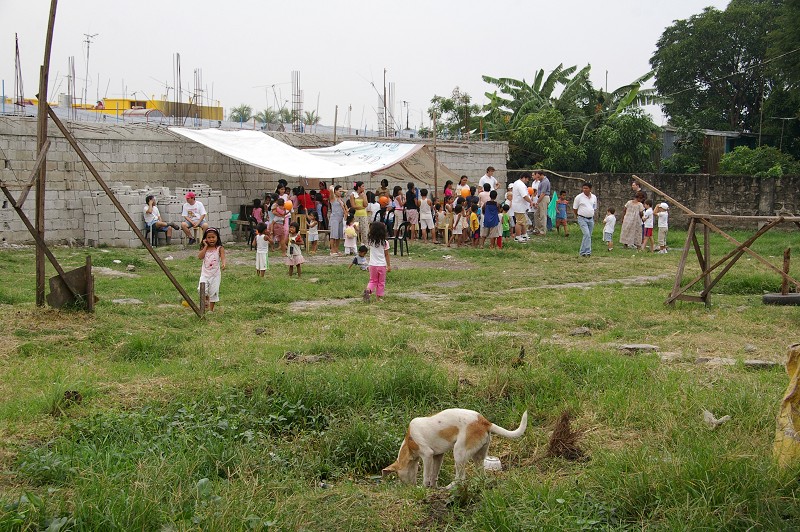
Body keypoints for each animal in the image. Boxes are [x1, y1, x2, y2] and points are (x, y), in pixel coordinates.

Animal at [382, 410, 528, 488]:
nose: (409, 489)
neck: (409, 442)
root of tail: (484, 422)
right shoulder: (438, 456)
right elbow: (434, 475)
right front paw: (433, 488)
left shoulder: (427, 455)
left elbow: (426, 475)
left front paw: (424, 488)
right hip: (478, 457)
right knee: (480, 475)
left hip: (458, 452)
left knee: (460, 478)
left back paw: (449, 487)